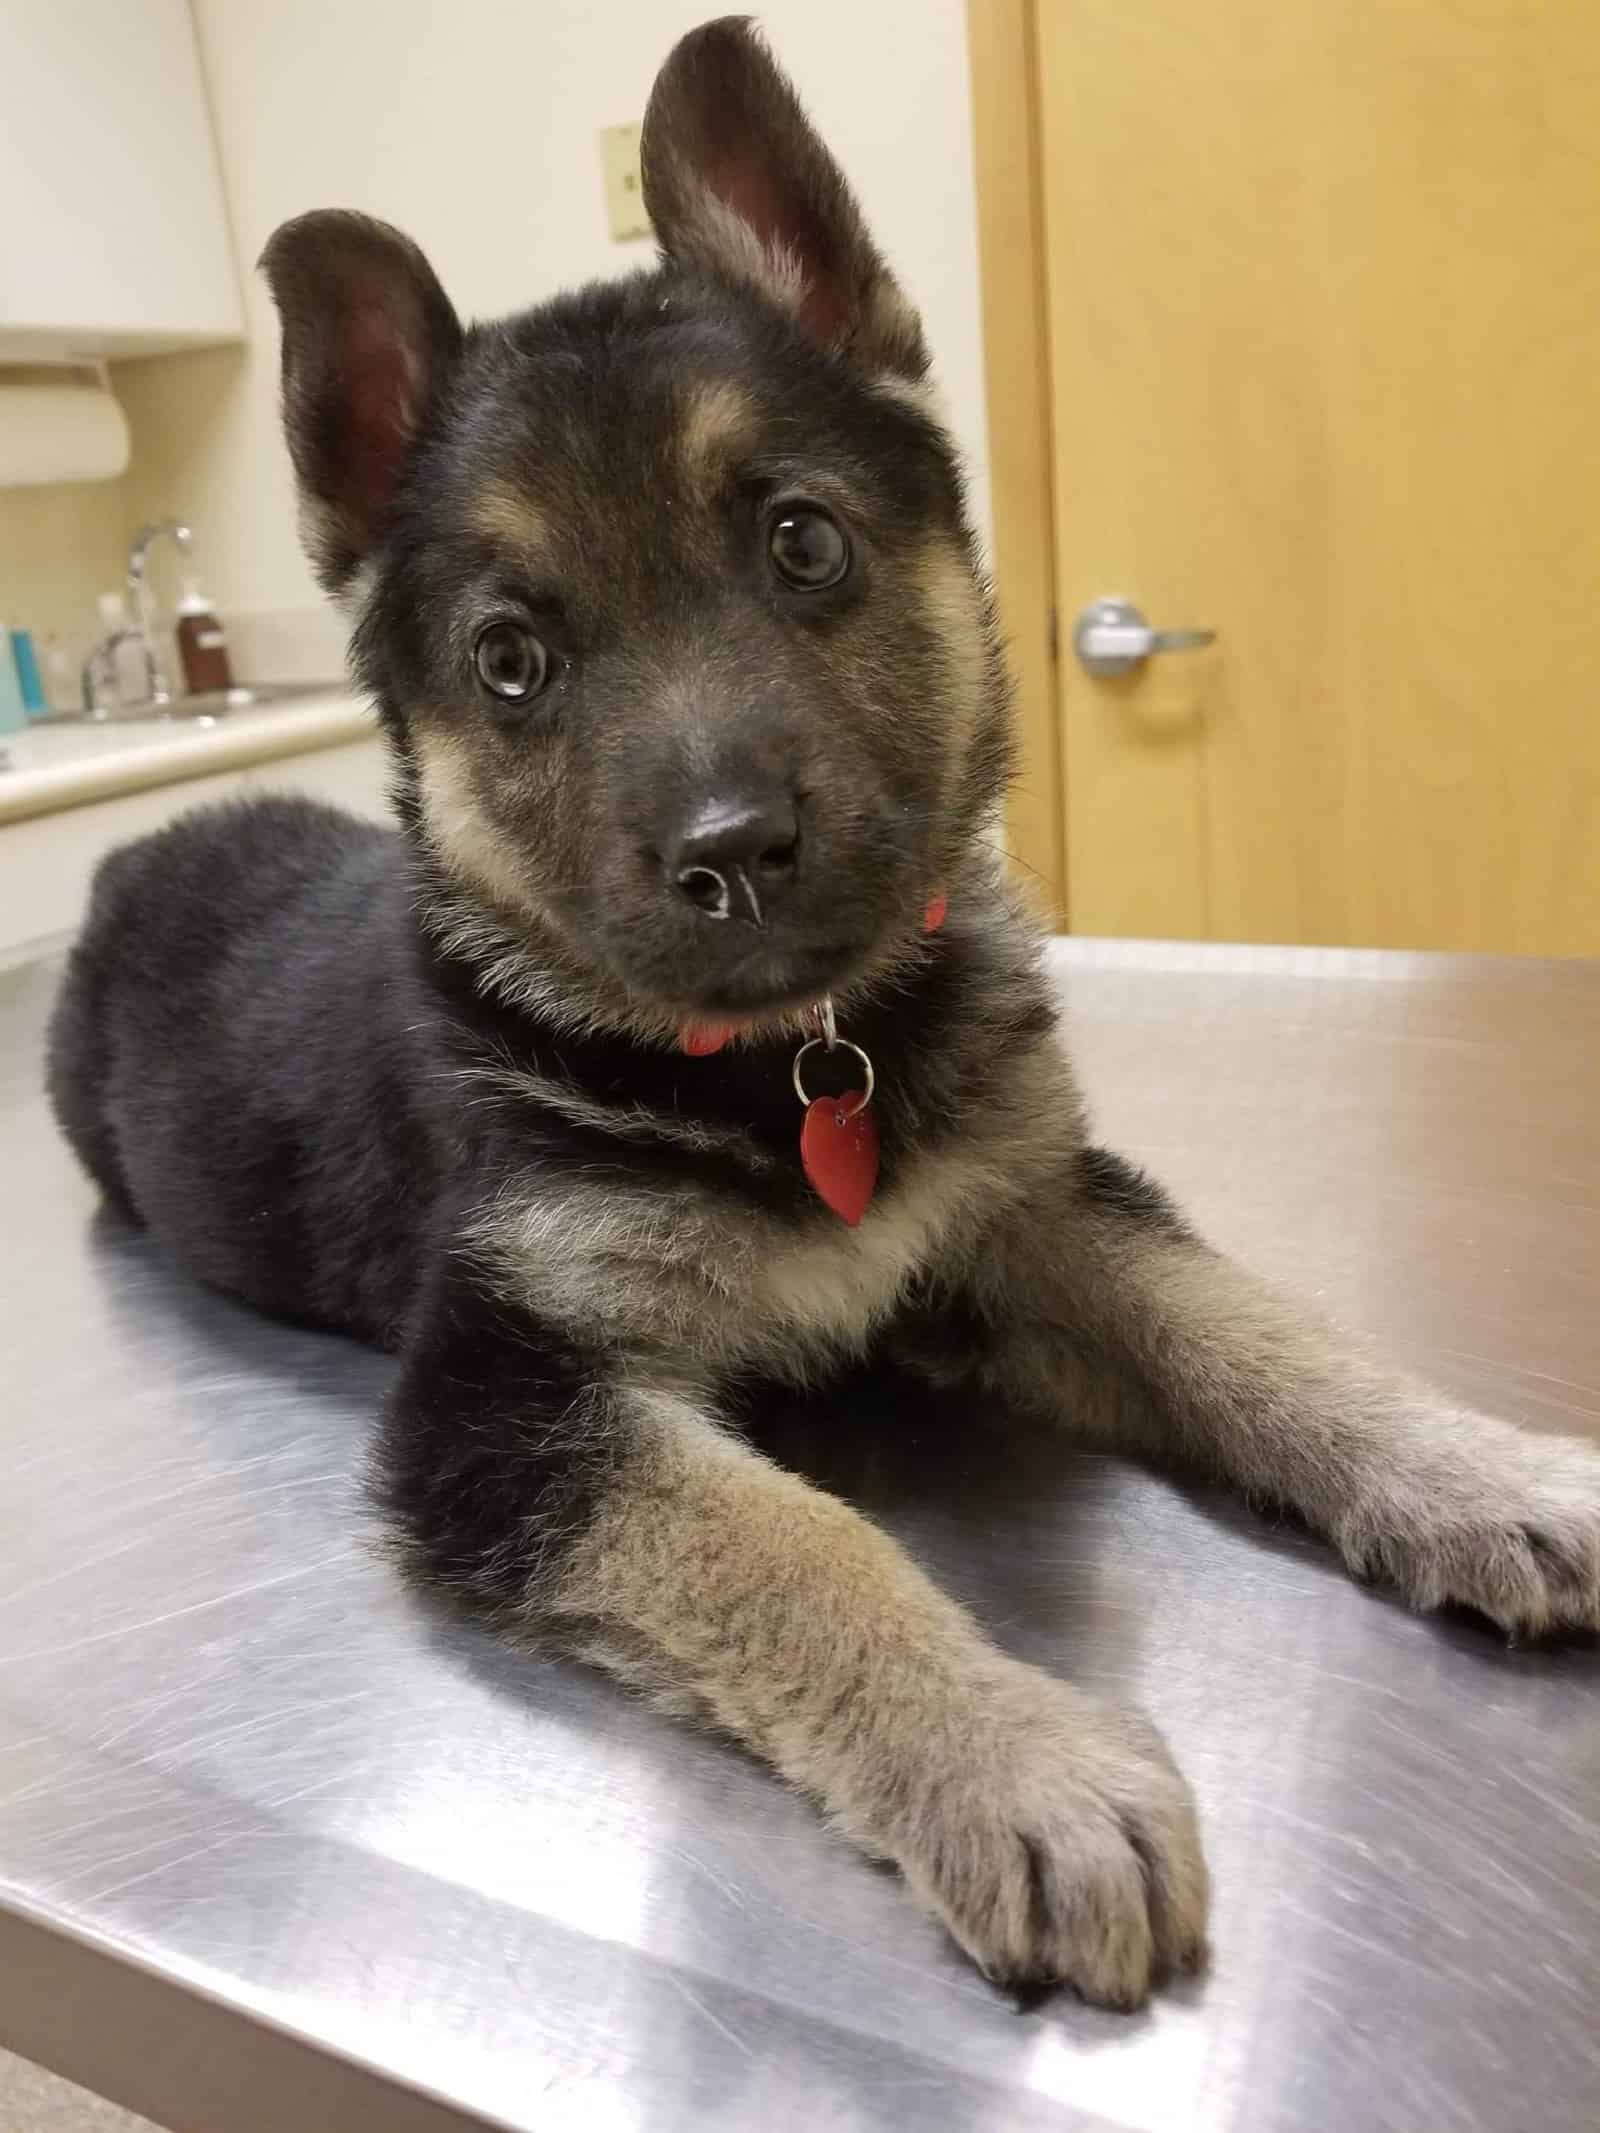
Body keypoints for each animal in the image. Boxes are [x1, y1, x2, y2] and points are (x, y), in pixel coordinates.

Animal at [46, 25, 1600, 2005]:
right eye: (510, 662)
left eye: (802, 543)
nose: (734, 853)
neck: (788, 1065)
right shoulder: (503, 1407)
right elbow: (789, 1538)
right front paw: (1014, 1760)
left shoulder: (1028, 1211)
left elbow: (1254, 1328)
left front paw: (1476, 1472)